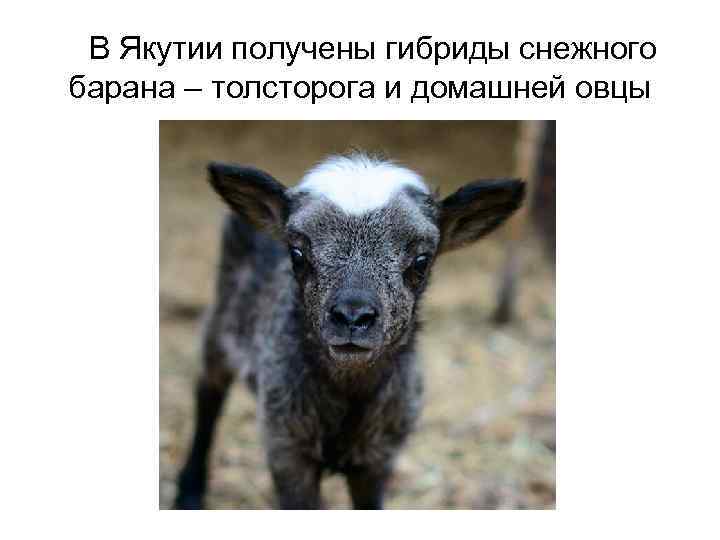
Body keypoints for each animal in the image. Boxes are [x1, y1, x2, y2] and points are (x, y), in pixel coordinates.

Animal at [173, 153, 525, 509]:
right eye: (297, 255)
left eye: (422, 261)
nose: (353, 316)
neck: (348, 391)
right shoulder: (285, 447)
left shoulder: (379, 457)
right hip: (224, 312)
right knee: (208, 391)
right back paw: (189, 489)